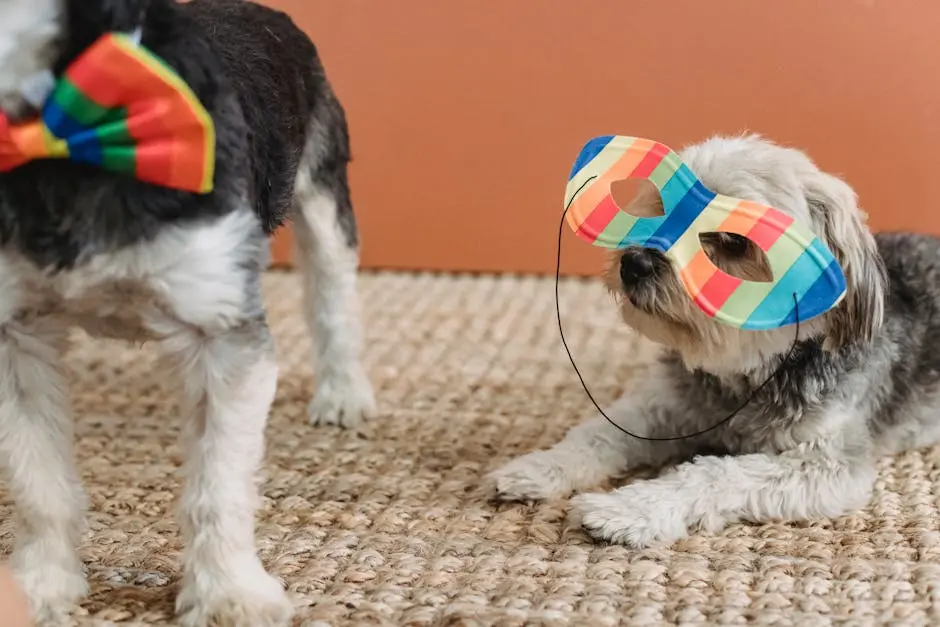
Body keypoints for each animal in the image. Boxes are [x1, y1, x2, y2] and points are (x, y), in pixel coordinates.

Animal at [0, 1, 374, 627]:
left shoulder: (220, 333)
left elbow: (217, 488)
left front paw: (228, 592)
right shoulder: (15, 337)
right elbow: (37, 480)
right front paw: (38, 585)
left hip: (322, 186)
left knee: (334, 295)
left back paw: (344, 391)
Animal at [488, 134, 940, 548]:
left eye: (734, 241)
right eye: (663, 207)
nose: (634, 262)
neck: (746, 374)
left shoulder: (826, 462)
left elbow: (714, 472)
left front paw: (627, 510)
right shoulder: (664, 404)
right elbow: (598, 433)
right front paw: (538, 467)